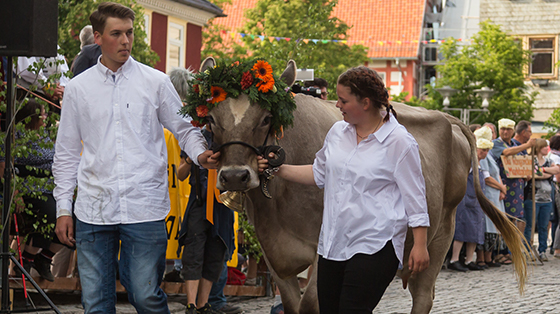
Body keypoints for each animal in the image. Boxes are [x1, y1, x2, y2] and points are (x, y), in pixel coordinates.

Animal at [182, 57, 528, 312]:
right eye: (210, 118)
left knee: (423, 295)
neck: (278, 206)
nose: (234, 176)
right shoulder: (273, 255)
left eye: (267, 118)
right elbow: (294, 306)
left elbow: (313, 304)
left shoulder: (323, 250)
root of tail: (448, 117)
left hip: (441, 231)